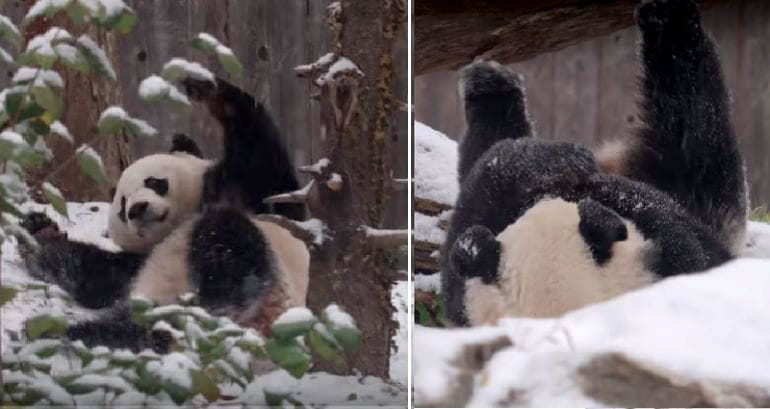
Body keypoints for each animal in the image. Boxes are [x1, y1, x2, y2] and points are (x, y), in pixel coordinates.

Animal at [24, 75, 312, 348]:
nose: (137, 209)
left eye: (153, 181)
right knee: (126, 325)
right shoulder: (135, 263)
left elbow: (263, 159)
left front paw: (204, 86)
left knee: (227, 242)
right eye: (122, 206)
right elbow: (92, 272)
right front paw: (39, 229)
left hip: (273, 293)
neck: (182, 220)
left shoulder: (247, 192)